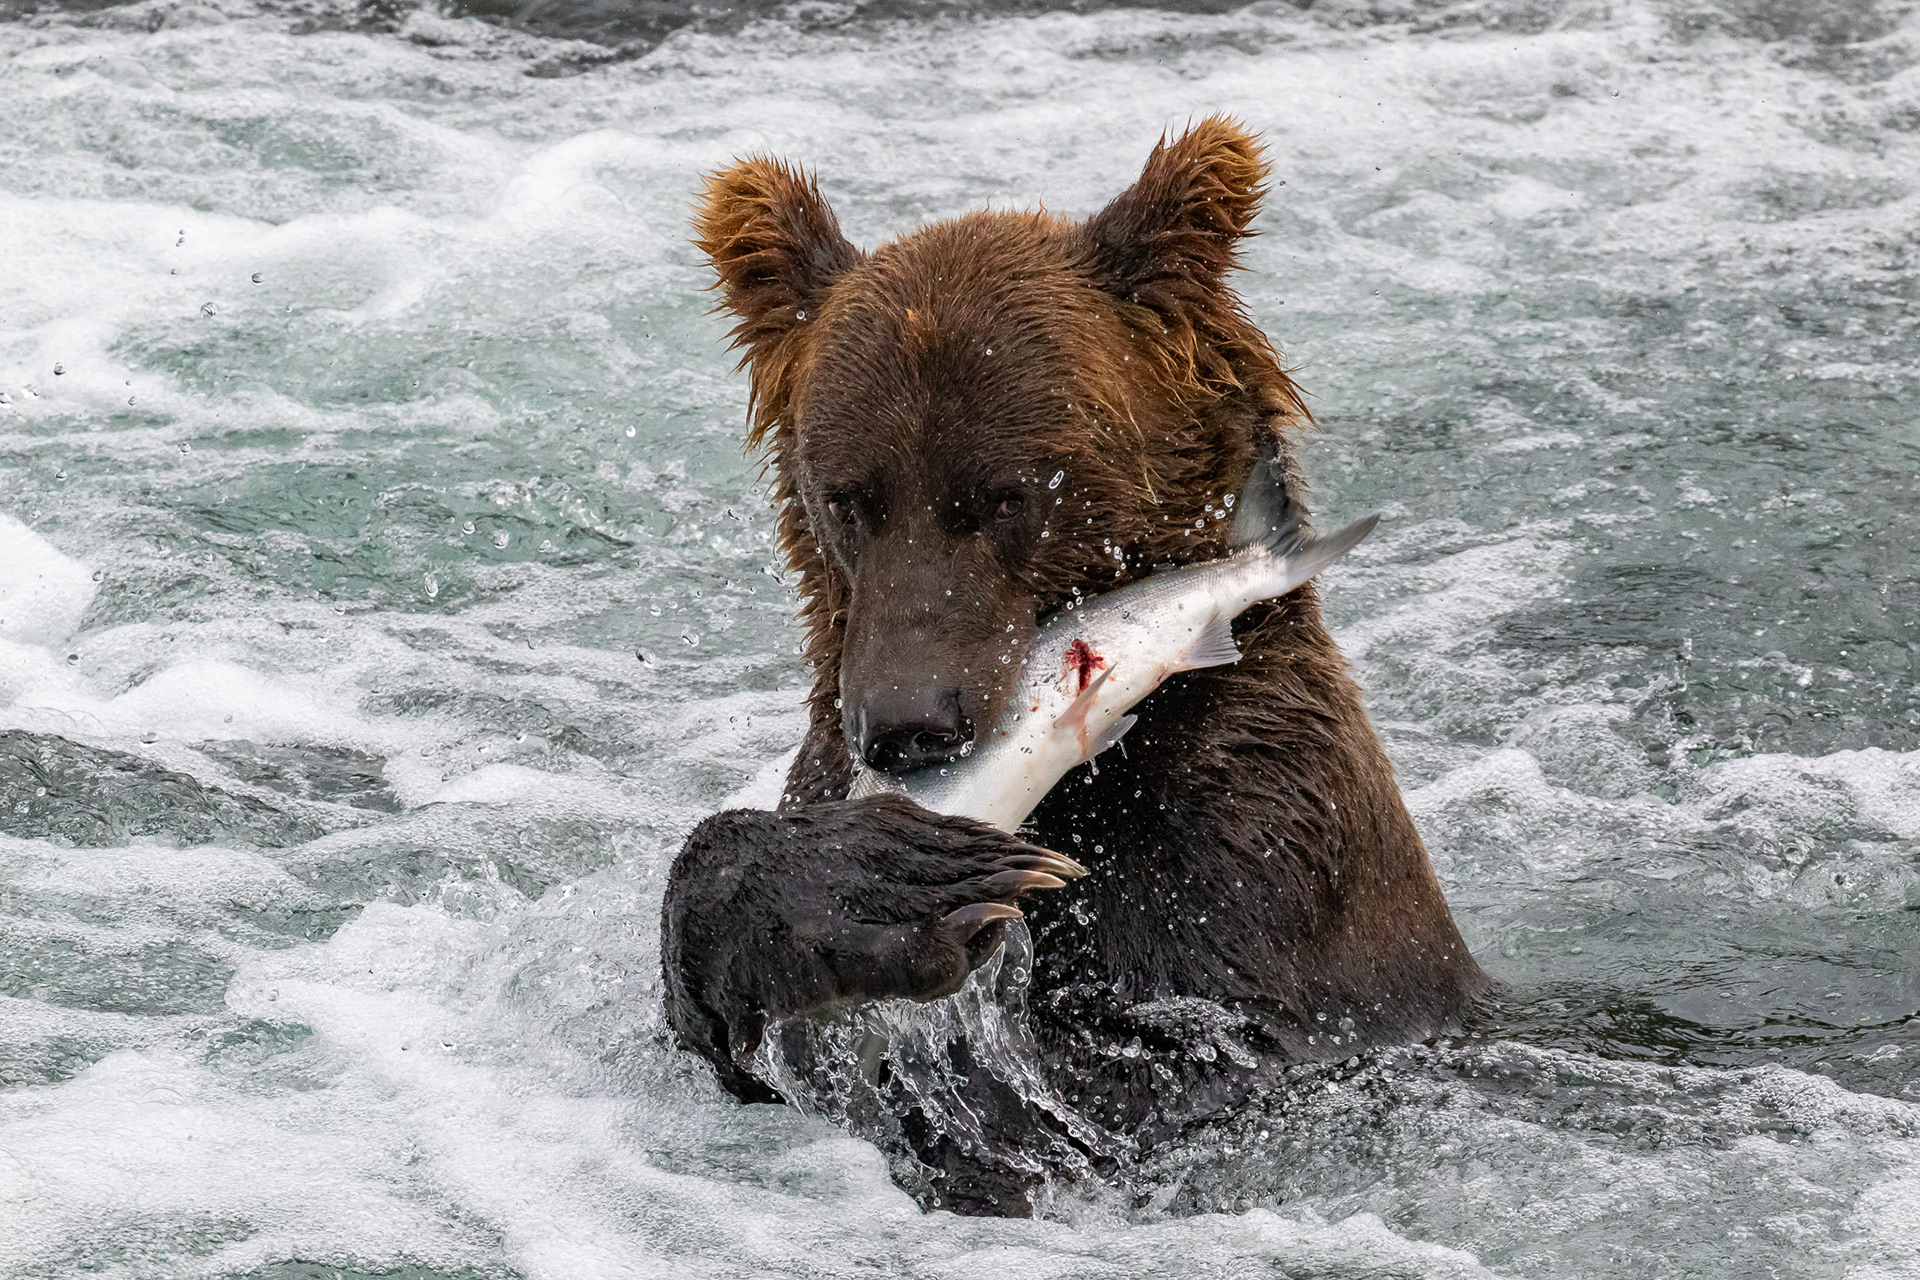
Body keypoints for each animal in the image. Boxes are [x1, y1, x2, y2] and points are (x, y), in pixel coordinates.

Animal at [661, 116, 1487, 1216]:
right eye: (849, 495)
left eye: (1007, 493)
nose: (907, 722)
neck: (1090, 790)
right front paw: (877, 880)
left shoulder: (1260, 849)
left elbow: (1158, 1068)